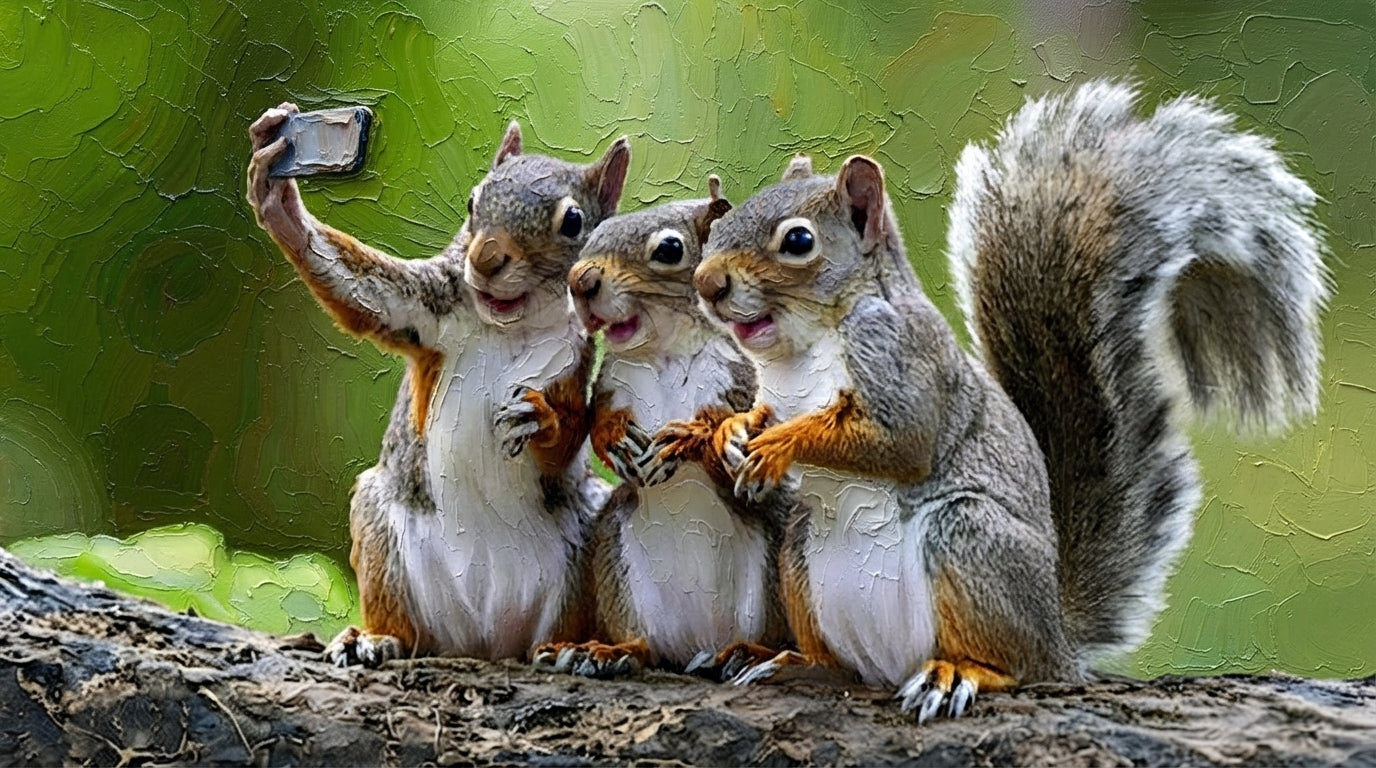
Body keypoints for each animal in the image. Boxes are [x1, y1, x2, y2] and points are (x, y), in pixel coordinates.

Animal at [246, 103, 631, 666]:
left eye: (573, 222)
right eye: (473, 202)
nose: (486, 259)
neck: (508, 326)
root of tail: (484, 637)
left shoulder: (571, 365)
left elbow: (570, 433)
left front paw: (537, 419)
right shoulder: (427, 306)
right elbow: (367, 294)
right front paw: (280, 205)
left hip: (583, 545)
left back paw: (576, 647)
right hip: (381, 533)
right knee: (402, 622)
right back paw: (375, 638)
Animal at [531, 176, 794, 677]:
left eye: (669, 249)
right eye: (590, 237)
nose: (580, 281)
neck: (663, 352)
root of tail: (697, 644)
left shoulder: (735, 379)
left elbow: (730, 423)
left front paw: (689, 437)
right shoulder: (612, 385)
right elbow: (596, 422)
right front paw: (617, 440)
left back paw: (750, 654)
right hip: (613, 555)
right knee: (642, 643)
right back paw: (606, 651)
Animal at [667, 80, 1327, 721]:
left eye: (798, 241)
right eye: (718, 230)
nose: (707, 283)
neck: (800, 352)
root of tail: (1057, 638)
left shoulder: (902, 360)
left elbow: (901, 443)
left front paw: (778, 445)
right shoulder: (778, 392)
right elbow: (759, 414)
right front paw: (726, 431)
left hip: (970, 541)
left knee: (1013, 665)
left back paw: (962, 672)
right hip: (802, 556)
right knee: (840, 663)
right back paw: (783, 659)